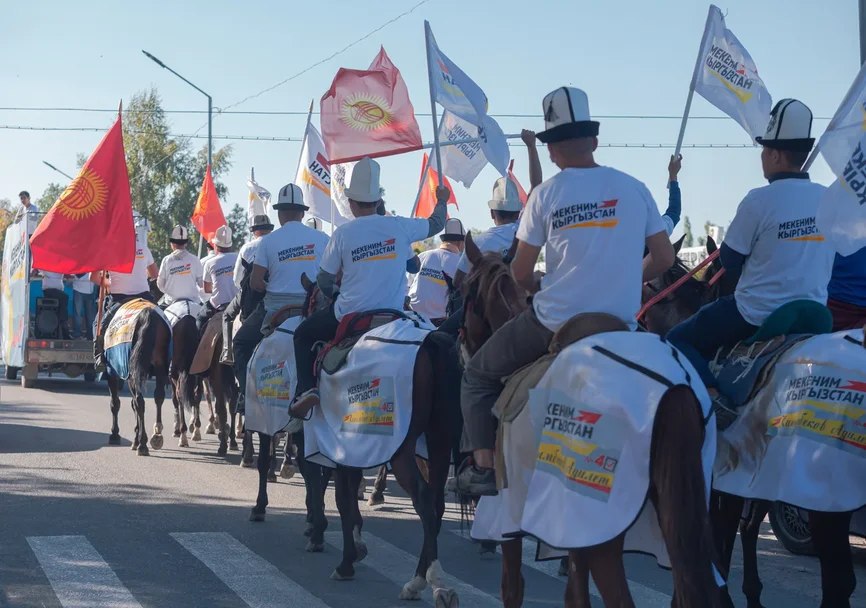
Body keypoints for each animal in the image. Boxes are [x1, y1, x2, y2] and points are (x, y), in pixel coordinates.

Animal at [105, 301, 172, 456]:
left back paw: (142, 444)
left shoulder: (111, 372)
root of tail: (147, 315)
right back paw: (156, 435)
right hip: (159, 366)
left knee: (139, 402)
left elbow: (115, 403)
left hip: (132, 372)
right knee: (158, 397)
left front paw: (115, 435)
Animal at [458, 233, 721, 608]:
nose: (462, 344)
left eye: (464, 289)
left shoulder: (508, 511)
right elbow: (576, 593)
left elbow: (512, 586)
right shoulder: (571, 527)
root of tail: (675, 389)